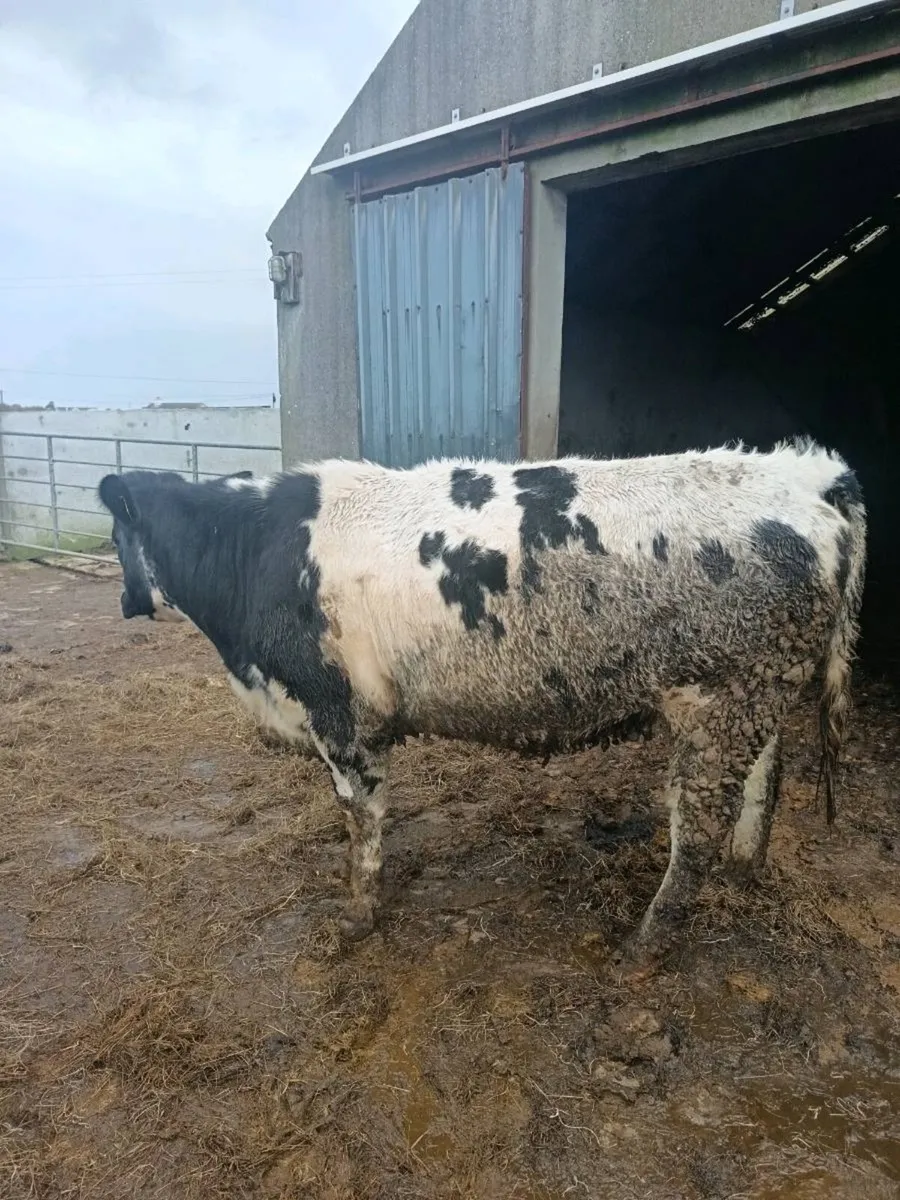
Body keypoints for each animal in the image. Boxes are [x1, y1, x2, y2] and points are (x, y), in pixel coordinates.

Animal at [98, 439, 866, 963]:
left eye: (113, 533)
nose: (126, 603)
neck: (256, 547)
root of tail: (808, 472)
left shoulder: (338, 713)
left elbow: (361, 819)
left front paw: (358, 916)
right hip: (758, 691)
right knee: (764, 785)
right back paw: (745, 868)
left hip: (723, 700)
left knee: (697, 830)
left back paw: (644, 943)